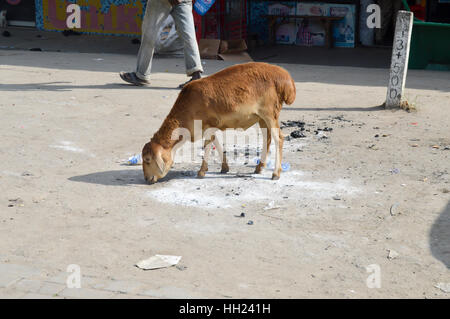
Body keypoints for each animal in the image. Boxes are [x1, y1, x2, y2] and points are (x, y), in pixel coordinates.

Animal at [141, 61, 296, 184]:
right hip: (262, 117)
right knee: (267, 139)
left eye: (148, 159)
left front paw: (201, 171)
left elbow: (207, 145)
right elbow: (215, 142)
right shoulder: (210, 126)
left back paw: (276, 173)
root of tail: (284, 77)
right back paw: (259, 167)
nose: (147, 179)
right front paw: (224, 167)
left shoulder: (207, 124)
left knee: (278, 138)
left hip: (269, 113)